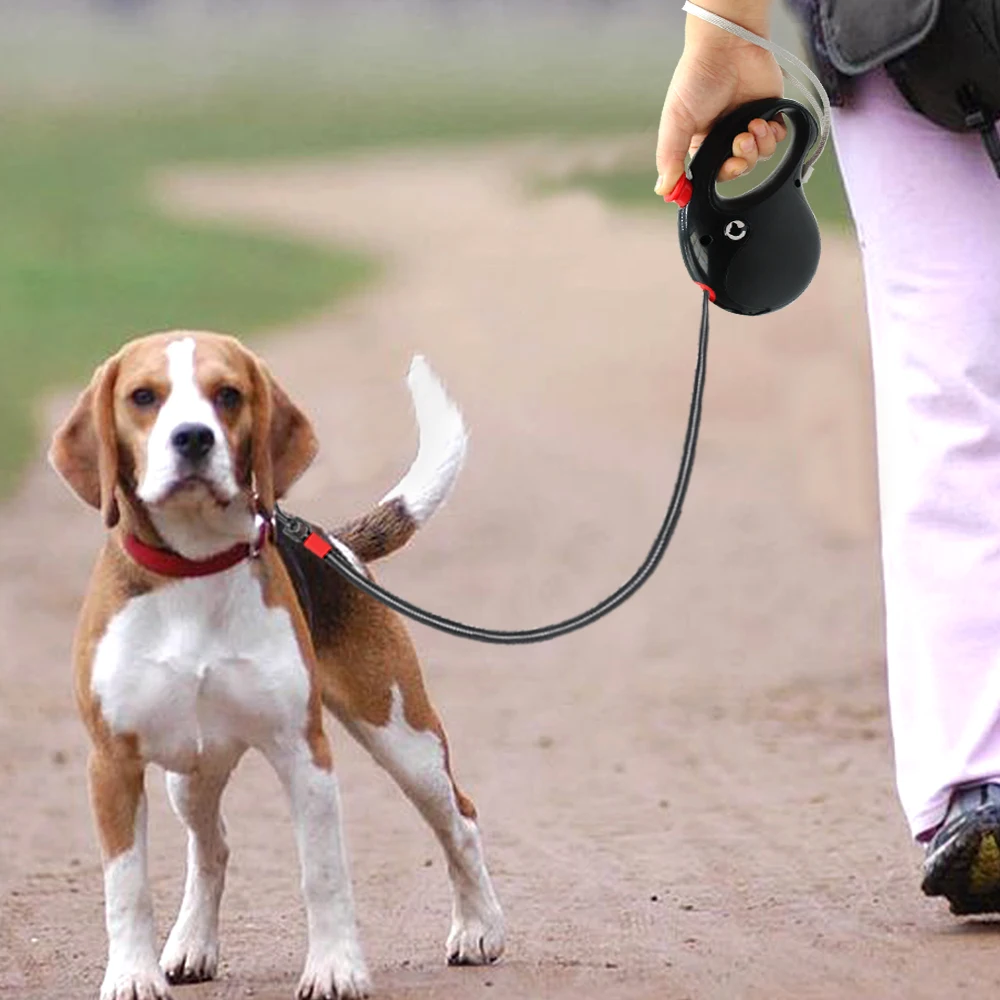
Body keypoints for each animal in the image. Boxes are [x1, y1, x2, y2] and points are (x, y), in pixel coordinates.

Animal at [48, 334, 500, 1000]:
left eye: (229, 394)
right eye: (143, 397)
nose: (193, 438)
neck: (195, 566)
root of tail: (336, 545)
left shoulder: (304, 752)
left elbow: (323, 873)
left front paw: (335, 968)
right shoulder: (112, 763)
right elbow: (126, 885)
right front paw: (132, 975)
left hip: (404, 737)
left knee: (459, 822)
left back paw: (479, 928)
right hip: (189, 773)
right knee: (211, 849)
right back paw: (190, 946)